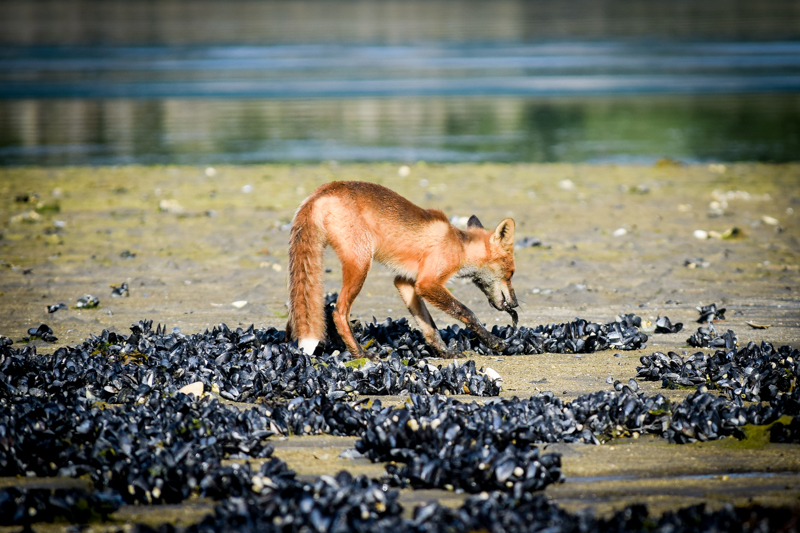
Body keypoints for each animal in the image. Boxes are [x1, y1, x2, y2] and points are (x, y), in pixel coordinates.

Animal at [286, 181, 520, 360]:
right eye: (511, 274)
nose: (516, 304)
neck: (458, 245)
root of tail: (324, 189)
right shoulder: (427, 283)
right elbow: (466, 311)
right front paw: (493, 341)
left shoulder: (406, 282)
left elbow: (429, 326)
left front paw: (445, 353)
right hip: (360, 264)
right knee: (338, 312)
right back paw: (360, 354)